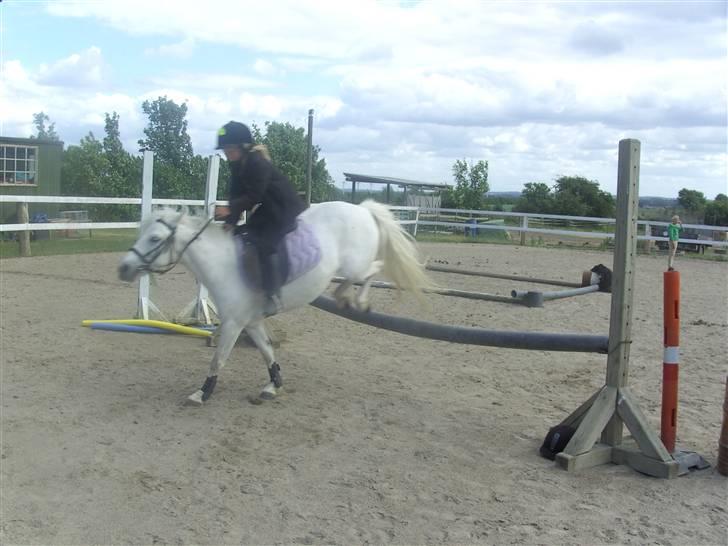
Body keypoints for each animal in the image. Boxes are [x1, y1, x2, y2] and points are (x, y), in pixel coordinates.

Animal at [118, 200, 433, 405]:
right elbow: (267, 352)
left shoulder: (232, 324)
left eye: (154, 238)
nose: (123, 268)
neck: (223, 264)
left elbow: (218, 359)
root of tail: (363, 209)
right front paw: (273, 385)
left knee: (374, 269)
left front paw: (202, 393)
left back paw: (354, 298)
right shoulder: (251, 322)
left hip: (356, 266)